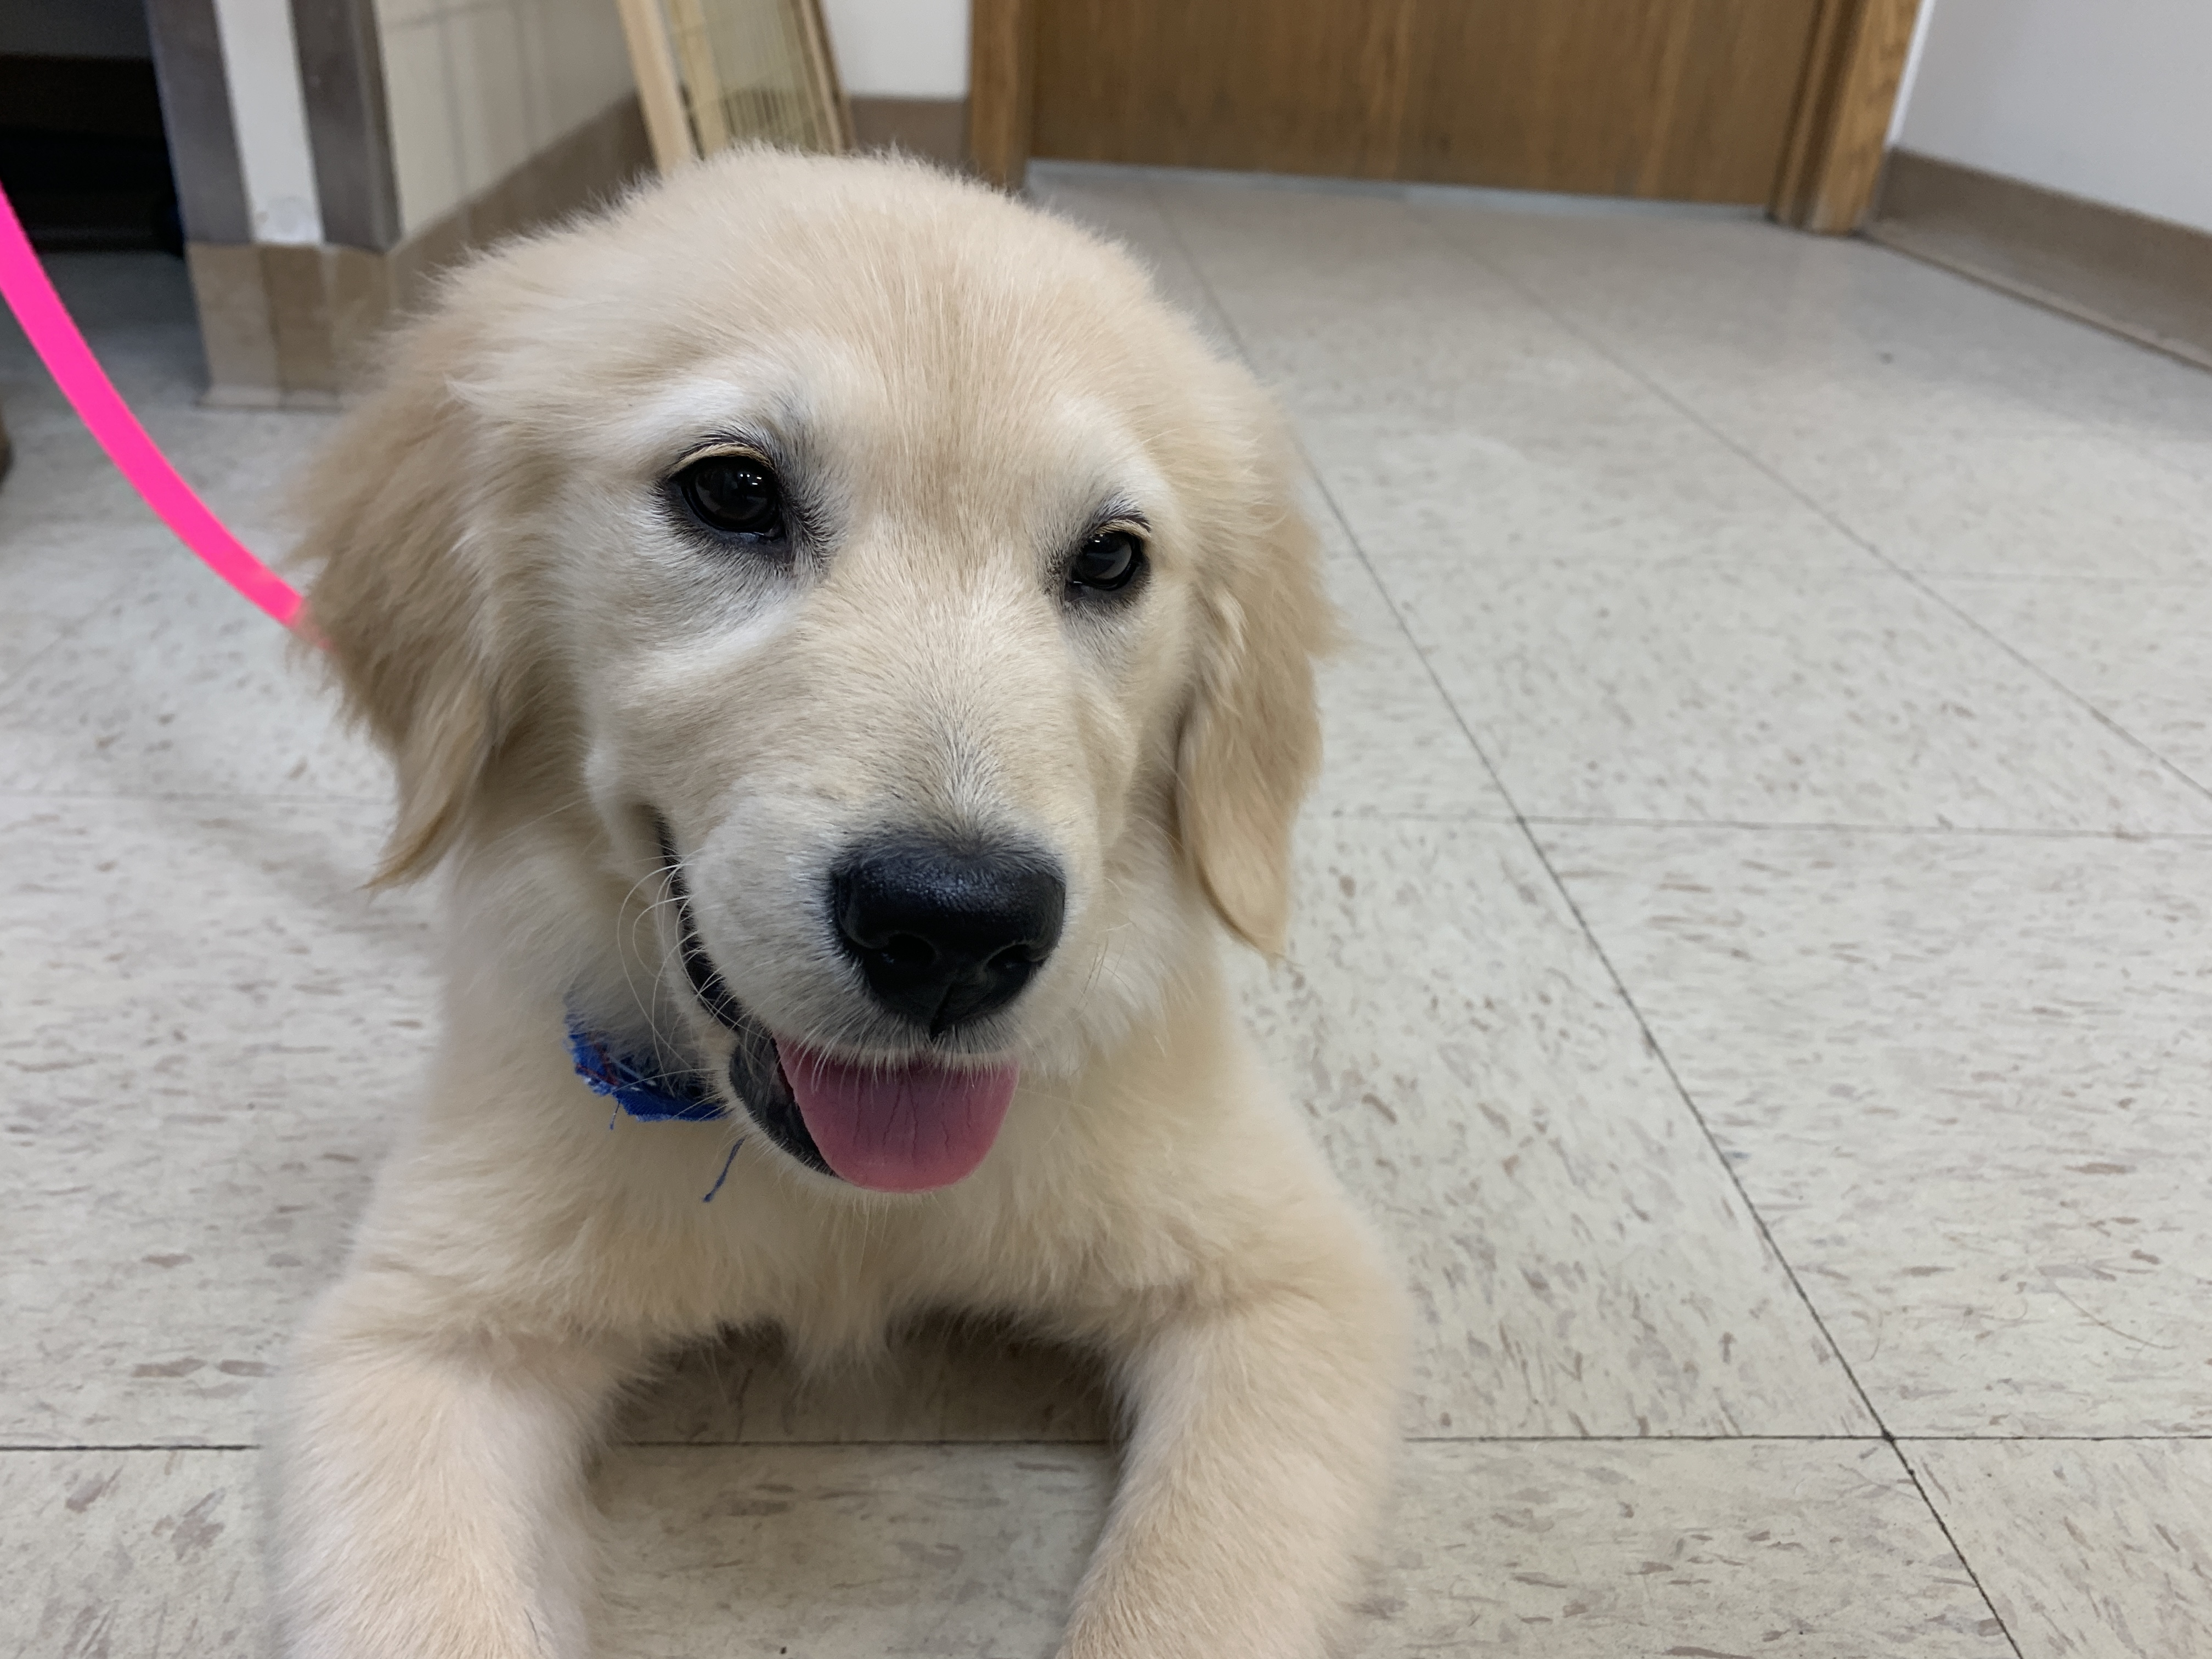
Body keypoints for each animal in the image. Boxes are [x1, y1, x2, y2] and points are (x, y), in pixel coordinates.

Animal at [276, 146, 1407, 1659]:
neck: (841, 1208)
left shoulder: (1292, 1291)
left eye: (1113, 560)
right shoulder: (419, 1338)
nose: (957, 926)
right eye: (732, 494)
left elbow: (1184, 1597)